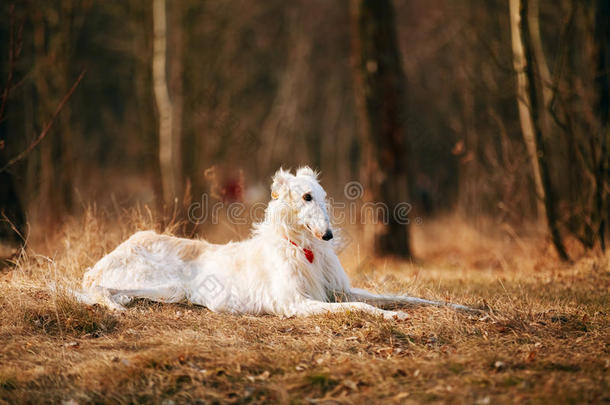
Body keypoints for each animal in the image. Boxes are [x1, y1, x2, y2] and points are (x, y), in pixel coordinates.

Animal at [76, 166, 472, 318]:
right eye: (306, 197)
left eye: (323, 196)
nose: (329, 236)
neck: (303, 247)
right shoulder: (296, 303)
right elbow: (362, 307)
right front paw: (390, 315)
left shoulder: (340, 290)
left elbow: (409, 296)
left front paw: (465, 307)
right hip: (159, 283)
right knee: (98, 289)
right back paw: (114, 305)